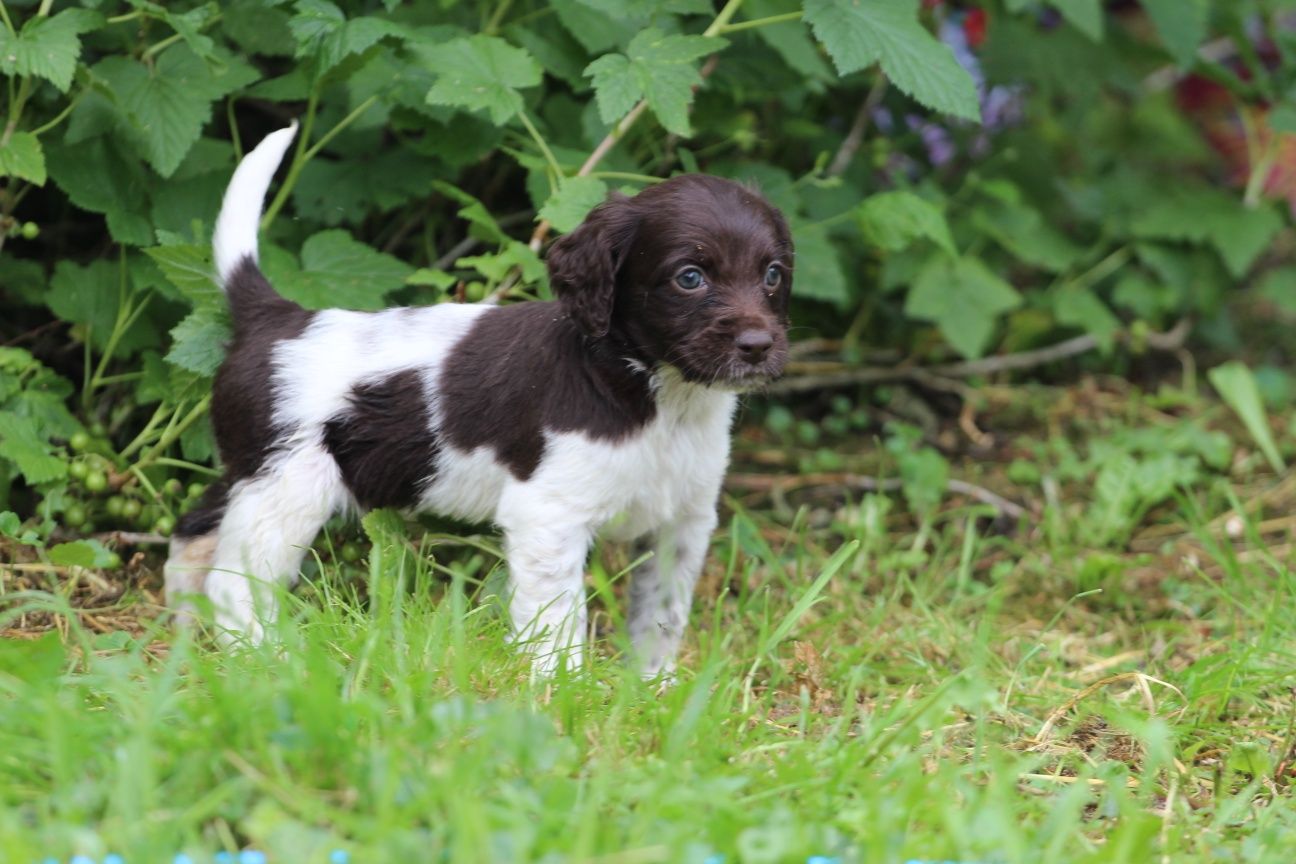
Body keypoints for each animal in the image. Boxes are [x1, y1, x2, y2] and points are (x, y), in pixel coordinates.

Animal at [162, 123, 787, 673]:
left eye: (774, 275)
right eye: (690, 277)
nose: (759, 346)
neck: (657, 393)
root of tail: (276, 316)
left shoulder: (681, 521)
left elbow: (661, 619)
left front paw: (650, 693)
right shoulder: (548, 516)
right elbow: (558, 626)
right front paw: (560, 695)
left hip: (252, 472)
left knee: (193, 534)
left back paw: (188, 647)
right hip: (287, 487)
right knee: (233, 585)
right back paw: (267, 663)